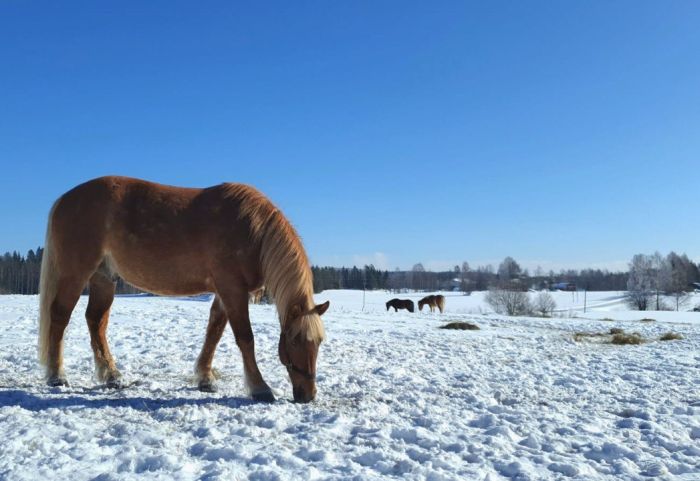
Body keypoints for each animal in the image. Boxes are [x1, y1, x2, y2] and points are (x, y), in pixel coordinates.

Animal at [39, 175, 330, 402]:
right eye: (295, 340)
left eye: (318, 342)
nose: (307, 395)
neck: (252, 230)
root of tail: (64, 199)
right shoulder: (233, 289)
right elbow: (245, 338)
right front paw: (259, 388)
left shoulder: (224, 293)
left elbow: (214, 332)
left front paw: (205, 378)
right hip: (75, 274)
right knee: (60, 316)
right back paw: (56, 376)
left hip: (103, 278)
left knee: (95, 321)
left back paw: (111, 376)